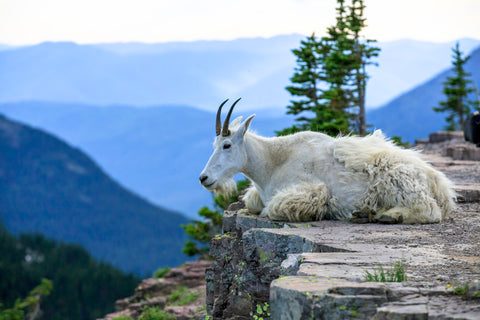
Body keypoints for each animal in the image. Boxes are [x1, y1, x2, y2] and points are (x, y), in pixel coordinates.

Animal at [201, 99, 456, 224]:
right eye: (213, 145)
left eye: (227, 145)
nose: (204, 178)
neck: (272, 163)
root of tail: (439, 184)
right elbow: (253, 203)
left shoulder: (311, 190)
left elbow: (272, 209)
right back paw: (367, 213)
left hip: (400, 184)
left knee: (429, 211)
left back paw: (387, 215)